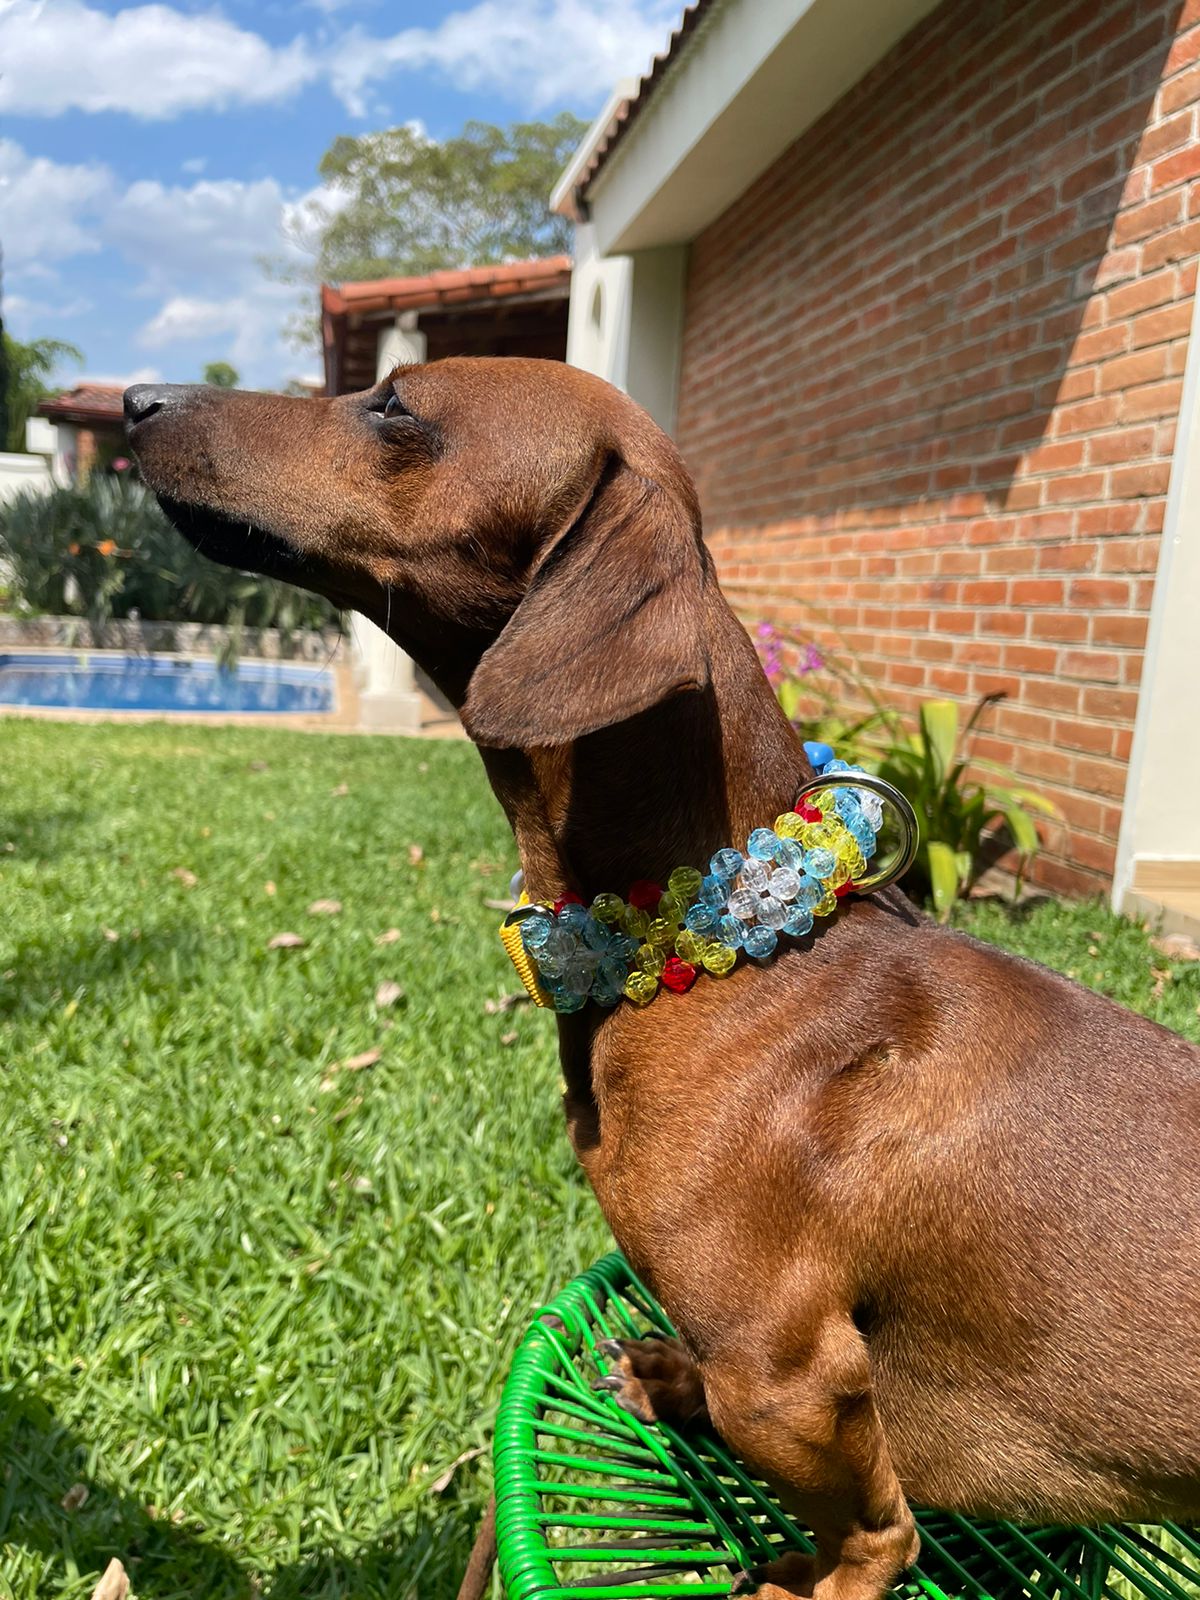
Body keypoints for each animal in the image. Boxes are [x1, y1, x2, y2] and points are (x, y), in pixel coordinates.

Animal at [127, 360, 1196, 1600]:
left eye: (394, 404)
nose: (136, 402)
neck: (731, 944)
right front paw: (672, 1381)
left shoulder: (788, 1382)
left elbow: (876, 1539)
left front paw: (804, 1576)